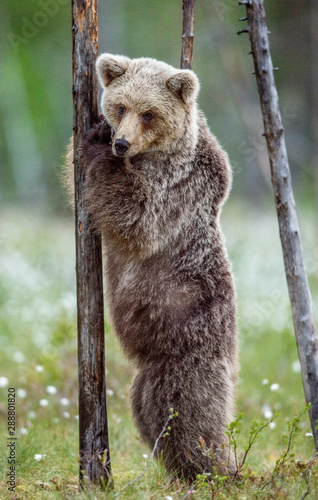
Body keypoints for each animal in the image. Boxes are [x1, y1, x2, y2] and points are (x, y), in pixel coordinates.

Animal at [65, 53, 238, 480]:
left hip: (186, 340)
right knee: (149, 407)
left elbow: (138, 218)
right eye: (121, 106)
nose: (120, 141)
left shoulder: (176, 188)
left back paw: (213, 466)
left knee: (186, 407)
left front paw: (96, 144)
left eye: (149, 113)